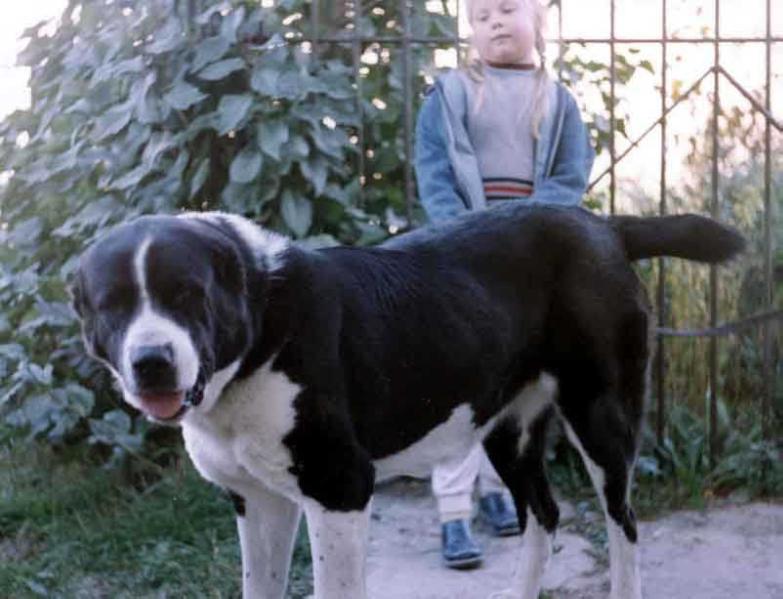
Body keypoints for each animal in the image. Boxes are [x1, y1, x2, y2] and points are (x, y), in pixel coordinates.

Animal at [72, 204, 740, 596]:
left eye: (188, 294)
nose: (151, 362)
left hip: (599, 415)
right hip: (506, 428)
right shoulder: (257, 501)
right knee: (544, 513)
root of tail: (605, 225)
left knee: (622, 522)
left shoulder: (339, 490)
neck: (261, 328)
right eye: (112, 305)